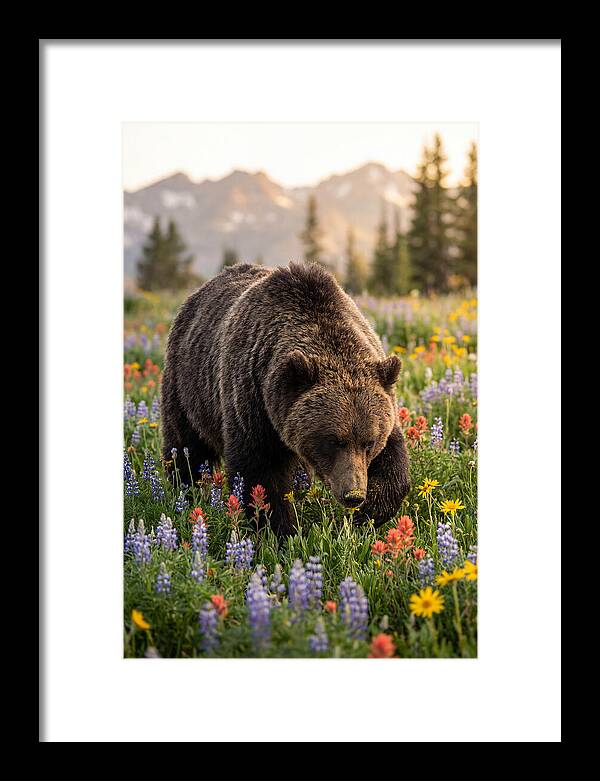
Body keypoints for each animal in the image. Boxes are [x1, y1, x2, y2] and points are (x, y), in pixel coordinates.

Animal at [161, 262, 410, 535]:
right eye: (334, 441)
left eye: (369, 442)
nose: (353, 494)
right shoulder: (253, 401)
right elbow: (260, 473)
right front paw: (280, 531)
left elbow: (394, 461)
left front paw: (369, 514)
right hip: (188, 388)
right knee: (186, 446)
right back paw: (184, 491)